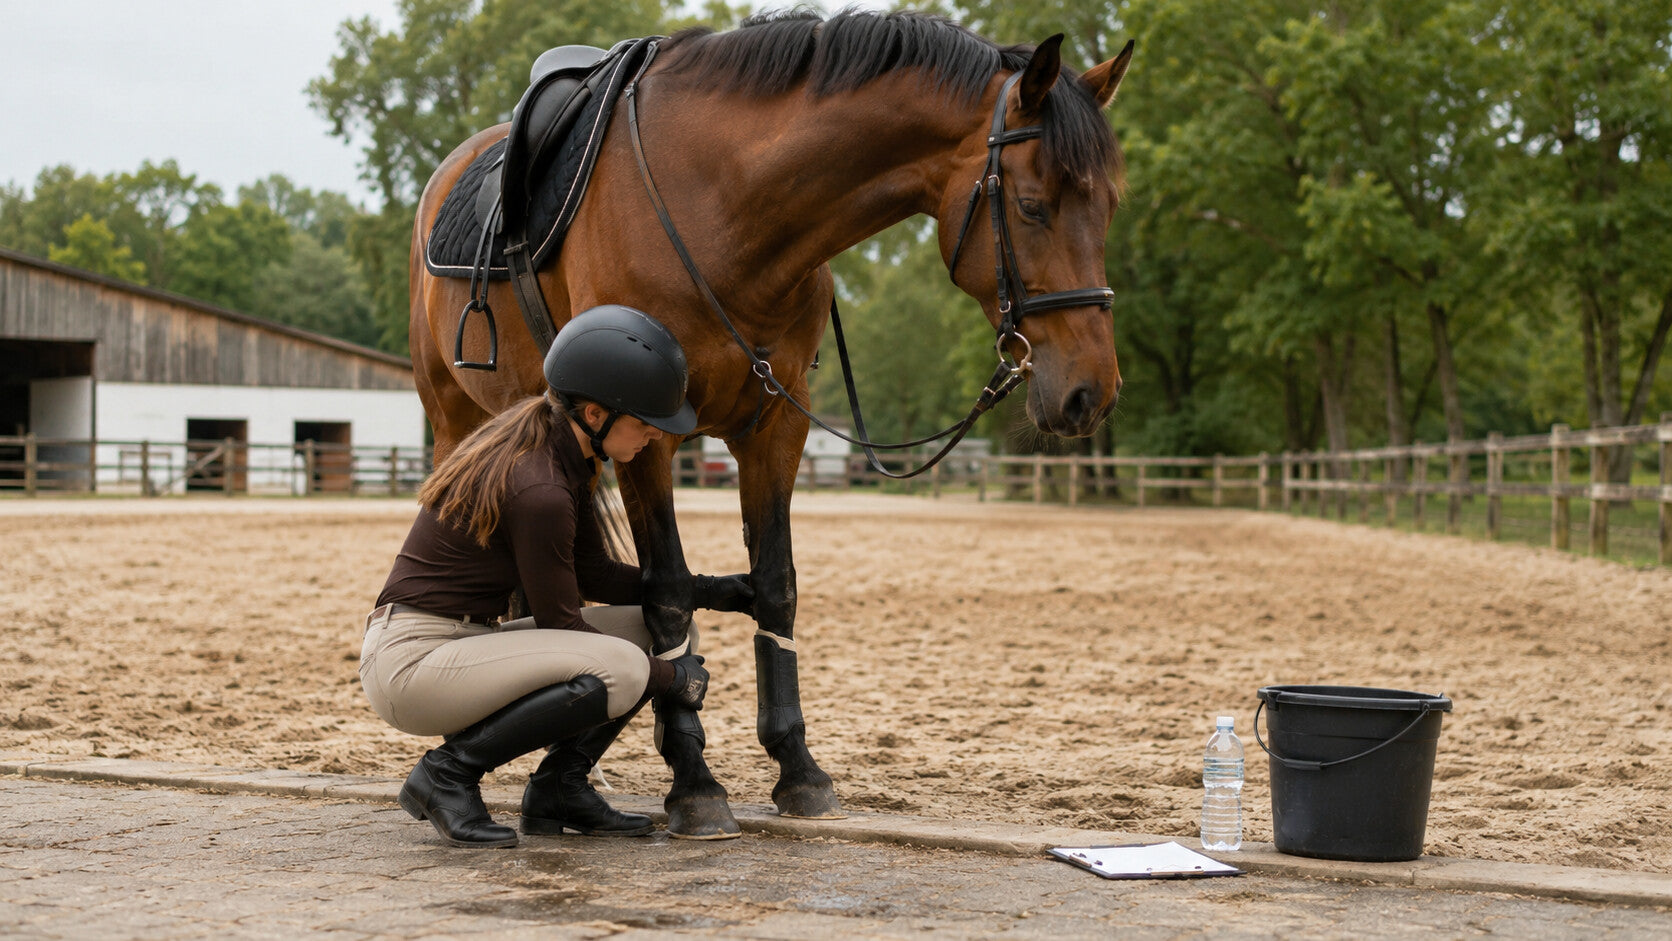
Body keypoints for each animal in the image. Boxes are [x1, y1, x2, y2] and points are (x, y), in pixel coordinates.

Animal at [409, 10, 1134, 839]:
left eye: (1110, 206)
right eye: (1033, 204)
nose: (1090, 392)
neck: (726, 207)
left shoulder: (776, 429)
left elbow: (774, 586)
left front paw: (798, 767)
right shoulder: (650, 440)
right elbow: (668, 593)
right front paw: (694, 782)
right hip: (456, 418)